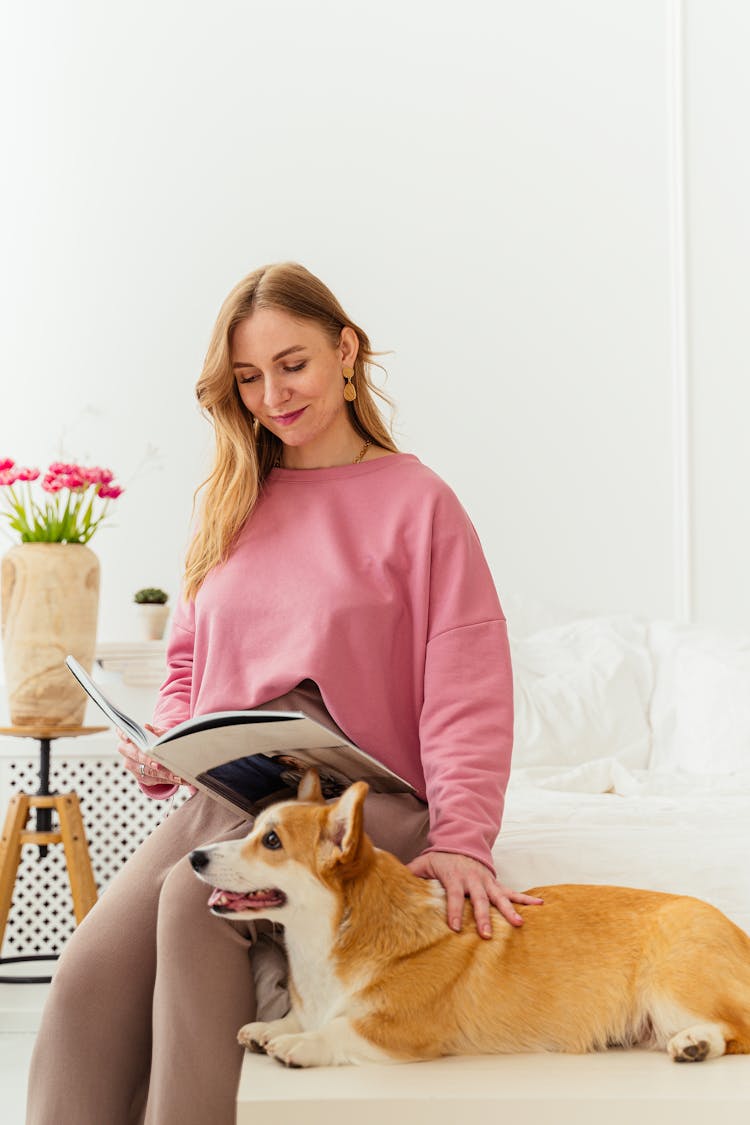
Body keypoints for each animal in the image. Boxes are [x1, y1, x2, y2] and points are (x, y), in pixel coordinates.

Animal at [188, 769, 750, 1066]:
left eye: (271, 841)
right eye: (253, 830)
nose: (194, 857)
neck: (333, 933)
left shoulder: (404, 1031)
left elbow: (339, 1030)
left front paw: (299, 1043)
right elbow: (301, 1016)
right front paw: (271, 1028)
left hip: (670, 983)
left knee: (737, 1031)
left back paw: (696, 1043)